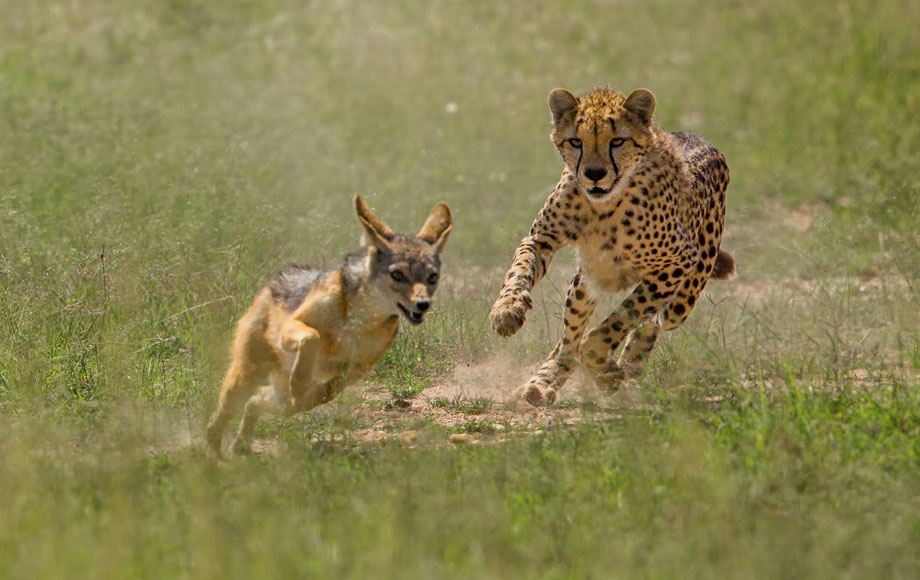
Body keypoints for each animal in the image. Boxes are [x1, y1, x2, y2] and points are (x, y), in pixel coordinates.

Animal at [490, 86, 735, 406]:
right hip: (585, 284)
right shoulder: (540, 239)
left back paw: (626, 365)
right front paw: (507, 310)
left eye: (617, 141)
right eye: (576, 141)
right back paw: (542, 384)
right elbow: (518, 270)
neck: (603, 206)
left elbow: (622, 317)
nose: (594, 173)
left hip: (683, 299)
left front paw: (605, 366)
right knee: (568, 342)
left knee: (653, 321)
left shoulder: (678, 262)